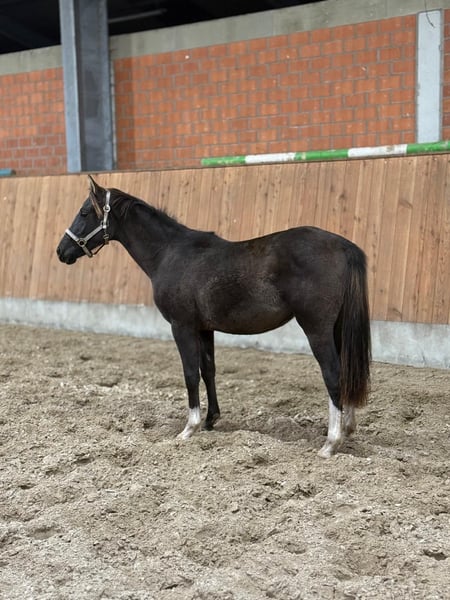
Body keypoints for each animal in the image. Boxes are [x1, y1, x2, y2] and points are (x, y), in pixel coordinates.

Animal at [56, 175, 371, 457]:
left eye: (84, 212)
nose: (61, 251)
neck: (171, 253)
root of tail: (344, 246)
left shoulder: (182, 327)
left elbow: (190, 373)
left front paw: (189, 428)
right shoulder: (204, 329)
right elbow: (208, 370)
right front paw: (210, 420)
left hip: (317, 329)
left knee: (332, 373)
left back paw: (331, 443)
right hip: (337, 329)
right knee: (346, 372)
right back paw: (347, 428)